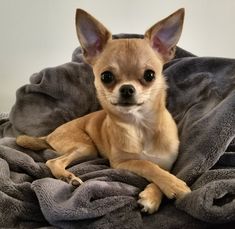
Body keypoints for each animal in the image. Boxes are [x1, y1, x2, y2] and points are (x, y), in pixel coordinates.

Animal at [17, 8, 191, 214]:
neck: (139, 126)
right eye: (106, 77)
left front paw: (155, 194)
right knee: (53, 161)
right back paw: (67, 177)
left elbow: (159, 169)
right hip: (86, 147)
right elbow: (148, 165)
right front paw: (175, 185)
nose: (127, 89)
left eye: (149, 75)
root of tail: (50, 134)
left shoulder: (168, 162)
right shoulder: (121, 163)